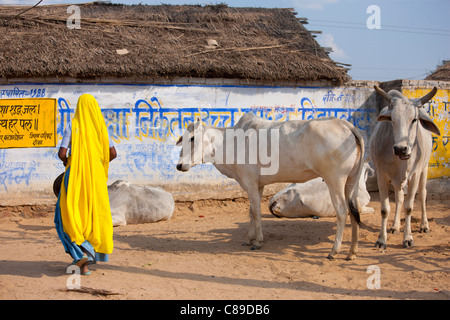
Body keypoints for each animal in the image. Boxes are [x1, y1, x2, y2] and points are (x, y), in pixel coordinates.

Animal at [176, 112, 366, 260]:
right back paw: (352, 252)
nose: (179, 165)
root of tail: (346, 124)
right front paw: (249, 238)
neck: (230, 143)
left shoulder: (250, 182)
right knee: (354, 209)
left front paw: (258, 241)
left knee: (342, 211)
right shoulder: (257, 185)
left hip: (335, 180)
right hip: (351, 180)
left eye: (192, 138)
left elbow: (256, 211)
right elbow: (251, 212)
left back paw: (334, 251)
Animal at [370, 85, 440, 250]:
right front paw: (382, 240)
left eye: (414, 119)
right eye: (392, 120)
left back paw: (424, 225)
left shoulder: (415, 175)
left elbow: (409, 207)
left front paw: (408, 238)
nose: (401, 149)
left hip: (424, 169)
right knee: (399, 197)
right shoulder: (381, 175)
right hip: (397, 180)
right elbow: (385, 209)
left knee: (422, 194)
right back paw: (395, 226)